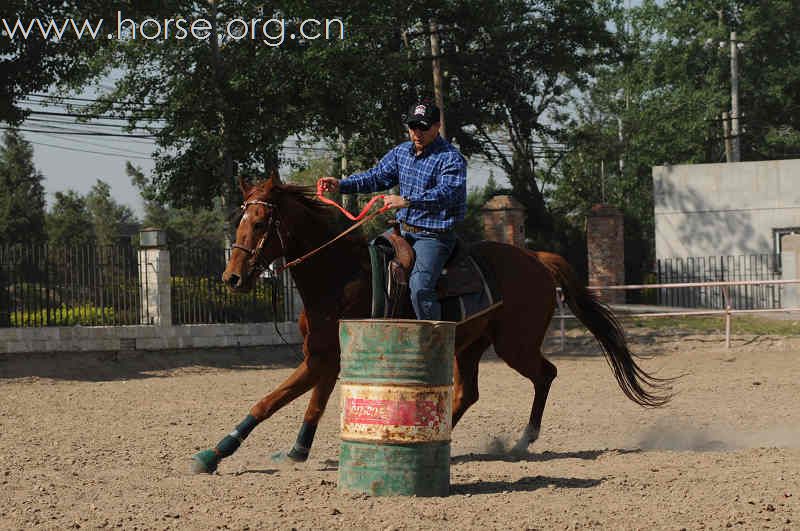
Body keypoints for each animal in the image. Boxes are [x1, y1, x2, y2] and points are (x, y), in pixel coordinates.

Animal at [191, 175, 672, 474]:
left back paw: (522, 440)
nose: (232, 278)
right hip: (470, 345)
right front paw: (290, 452)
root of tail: (535, 258)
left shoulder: (323, 359)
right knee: (468, 393)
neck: (338, 275)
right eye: (239, 219)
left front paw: (215, 454)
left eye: (260, 221)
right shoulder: (324, 357)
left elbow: (270, 402)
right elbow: (303, 405)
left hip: (515, 344)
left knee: (546, 374)